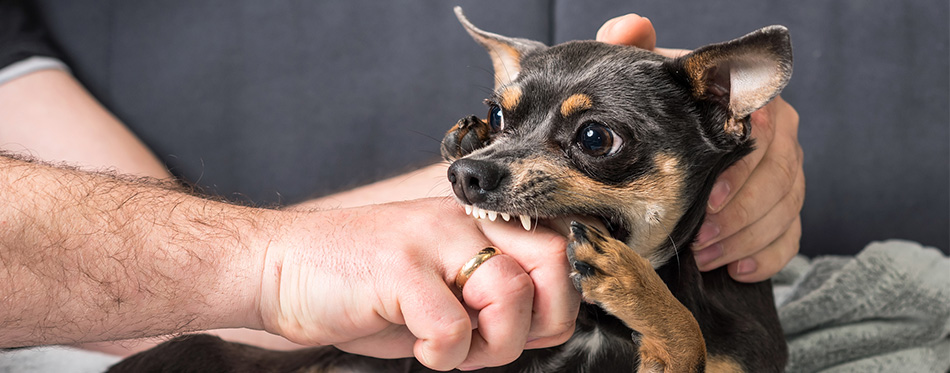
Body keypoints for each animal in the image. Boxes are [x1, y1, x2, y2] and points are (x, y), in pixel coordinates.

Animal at [109, 6, 796, 372]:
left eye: (596, 138)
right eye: (497, 113)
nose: (468, 172)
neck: (597, 327)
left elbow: (688, 335)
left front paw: (633, 283)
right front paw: (462, 137)